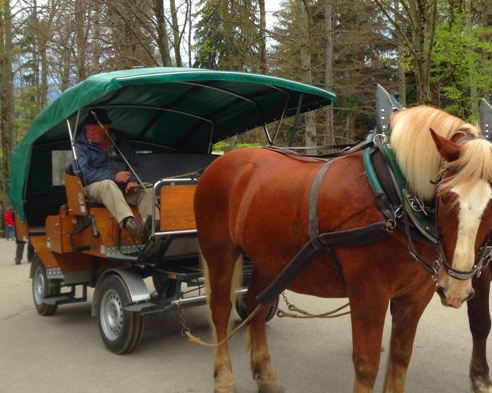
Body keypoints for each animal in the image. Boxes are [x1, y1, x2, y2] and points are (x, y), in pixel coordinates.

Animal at [194, 105, 492, 392]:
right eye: (445, 197)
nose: (456, 289)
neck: (392, 195)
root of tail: (220, 161)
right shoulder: (368, 292)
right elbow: (367, 363)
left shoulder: (416, 295)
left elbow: (400, 356)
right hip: (219, 252)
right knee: (220, 310)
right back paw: (224, 379)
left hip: (269, 258)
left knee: (257, 301)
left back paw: (265, 374)